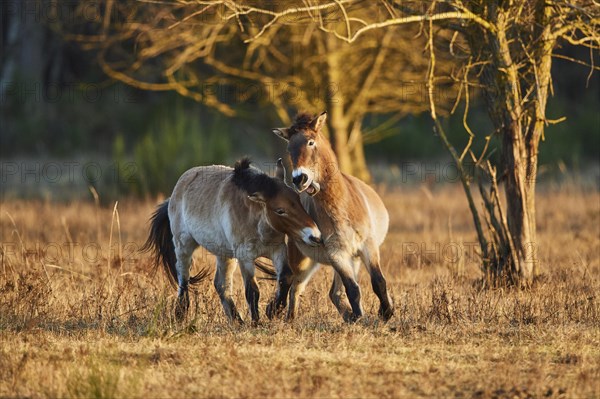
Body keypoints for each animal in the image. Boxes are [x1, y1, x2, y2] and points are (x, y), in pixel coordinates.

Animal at [143, 158, 322, 324]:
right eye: (280, 210)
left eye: (298, 200)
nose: (315, 236)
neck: (254, 217)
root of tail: (175, 193)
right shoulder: (245, 257)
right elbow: (252, 291)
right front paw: (256, 322)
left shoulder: (277, 250)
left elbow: (286, 277)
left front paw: (274, 310)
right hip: (184, 246)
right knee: (183, 279)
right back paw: (180, 314)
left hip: (225, 254)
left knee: (221, 285)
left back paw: (237, 321)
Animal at [272, 111, 394, 322]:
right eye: (289, 148)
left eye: (310, 142)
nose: (299, 179)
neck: (341, 207)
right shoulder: (337, 254)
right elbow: (352, 289)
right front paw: (360, 319)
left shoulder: (368, 247)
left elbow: (378, 282)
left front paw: (386, 313)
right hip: (304, 260)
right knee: (292, 284)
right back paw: (283, 316)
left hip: (353, 258)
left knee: (322, 291)